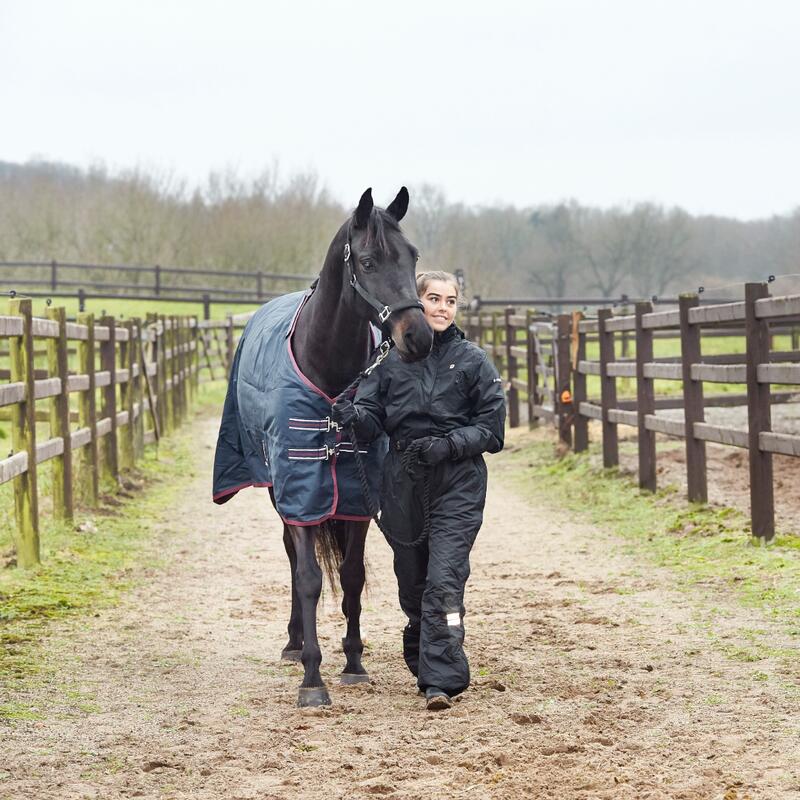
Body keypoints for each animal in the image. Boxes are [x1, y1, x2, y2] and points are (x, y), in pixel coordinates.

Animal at [211, 189, 432, 708]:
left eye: (413, 257)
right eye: (368, 262)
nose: (418, 337)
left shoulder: (355, 496)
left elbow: (351, 576)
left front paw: (353, 663)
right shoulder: (301, 492)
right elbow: (310, 577)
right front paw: (313, 678)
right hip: (278, 493)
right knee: (294, 562)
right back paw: (295, 644)